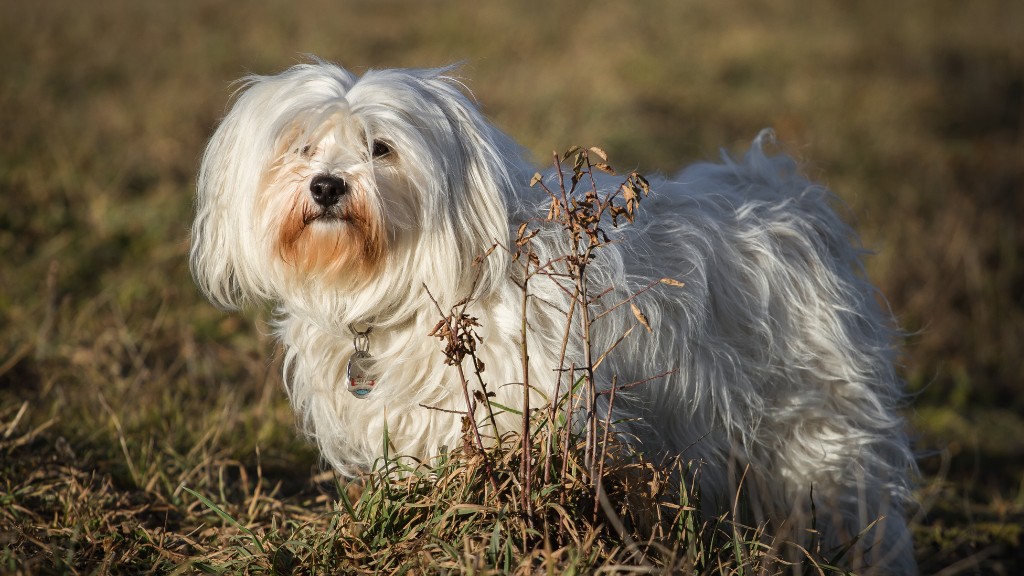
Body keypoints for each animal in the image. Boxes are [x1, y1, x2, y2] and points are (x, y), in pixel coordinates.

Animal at [192, 58, 921, 569]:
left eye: (381, 148)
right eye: (301, 148)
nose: (325, 186)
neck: (409, 287)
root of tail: (786, 198)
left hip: (816, 431)